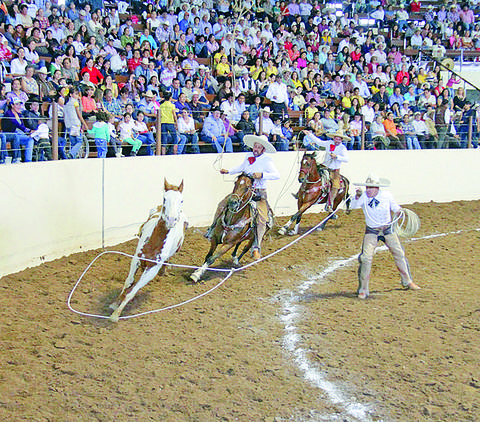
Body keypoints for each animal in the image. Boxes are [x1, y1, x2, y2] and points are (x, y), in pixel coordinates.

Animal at [109, 179, 188, 324]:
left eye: (181, 200)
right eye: (165, 198)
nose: (171, 219)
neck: (154, 243)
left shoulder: (152, 269)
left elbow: (133, 291)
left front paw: (116, 315)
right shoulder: (136, 259)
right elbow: (128, 282)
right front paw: (115, 303)